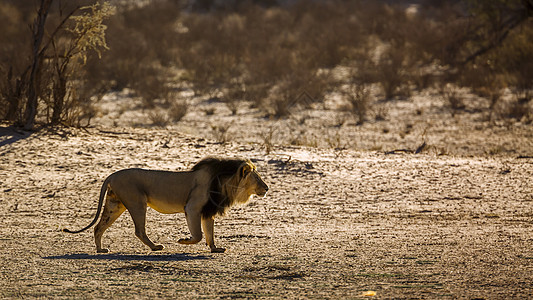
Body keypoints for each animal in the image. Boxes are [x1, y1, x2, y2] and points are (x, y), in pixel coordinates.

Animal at [62, 157, 268, 253]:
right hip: (137, 202)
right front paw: (183, 240)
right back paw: (155, 247)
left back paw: (100, 249)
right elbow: (199, 235)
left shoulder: (207, 212)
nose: (267, 188)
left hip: (115, 204)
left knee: (98, 227)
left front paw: (215, 248)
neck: (226, 183)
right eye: (257, 178)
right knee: (139, 231)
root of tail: (111, 175)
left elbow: (209, 233)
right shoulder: (192, 207)